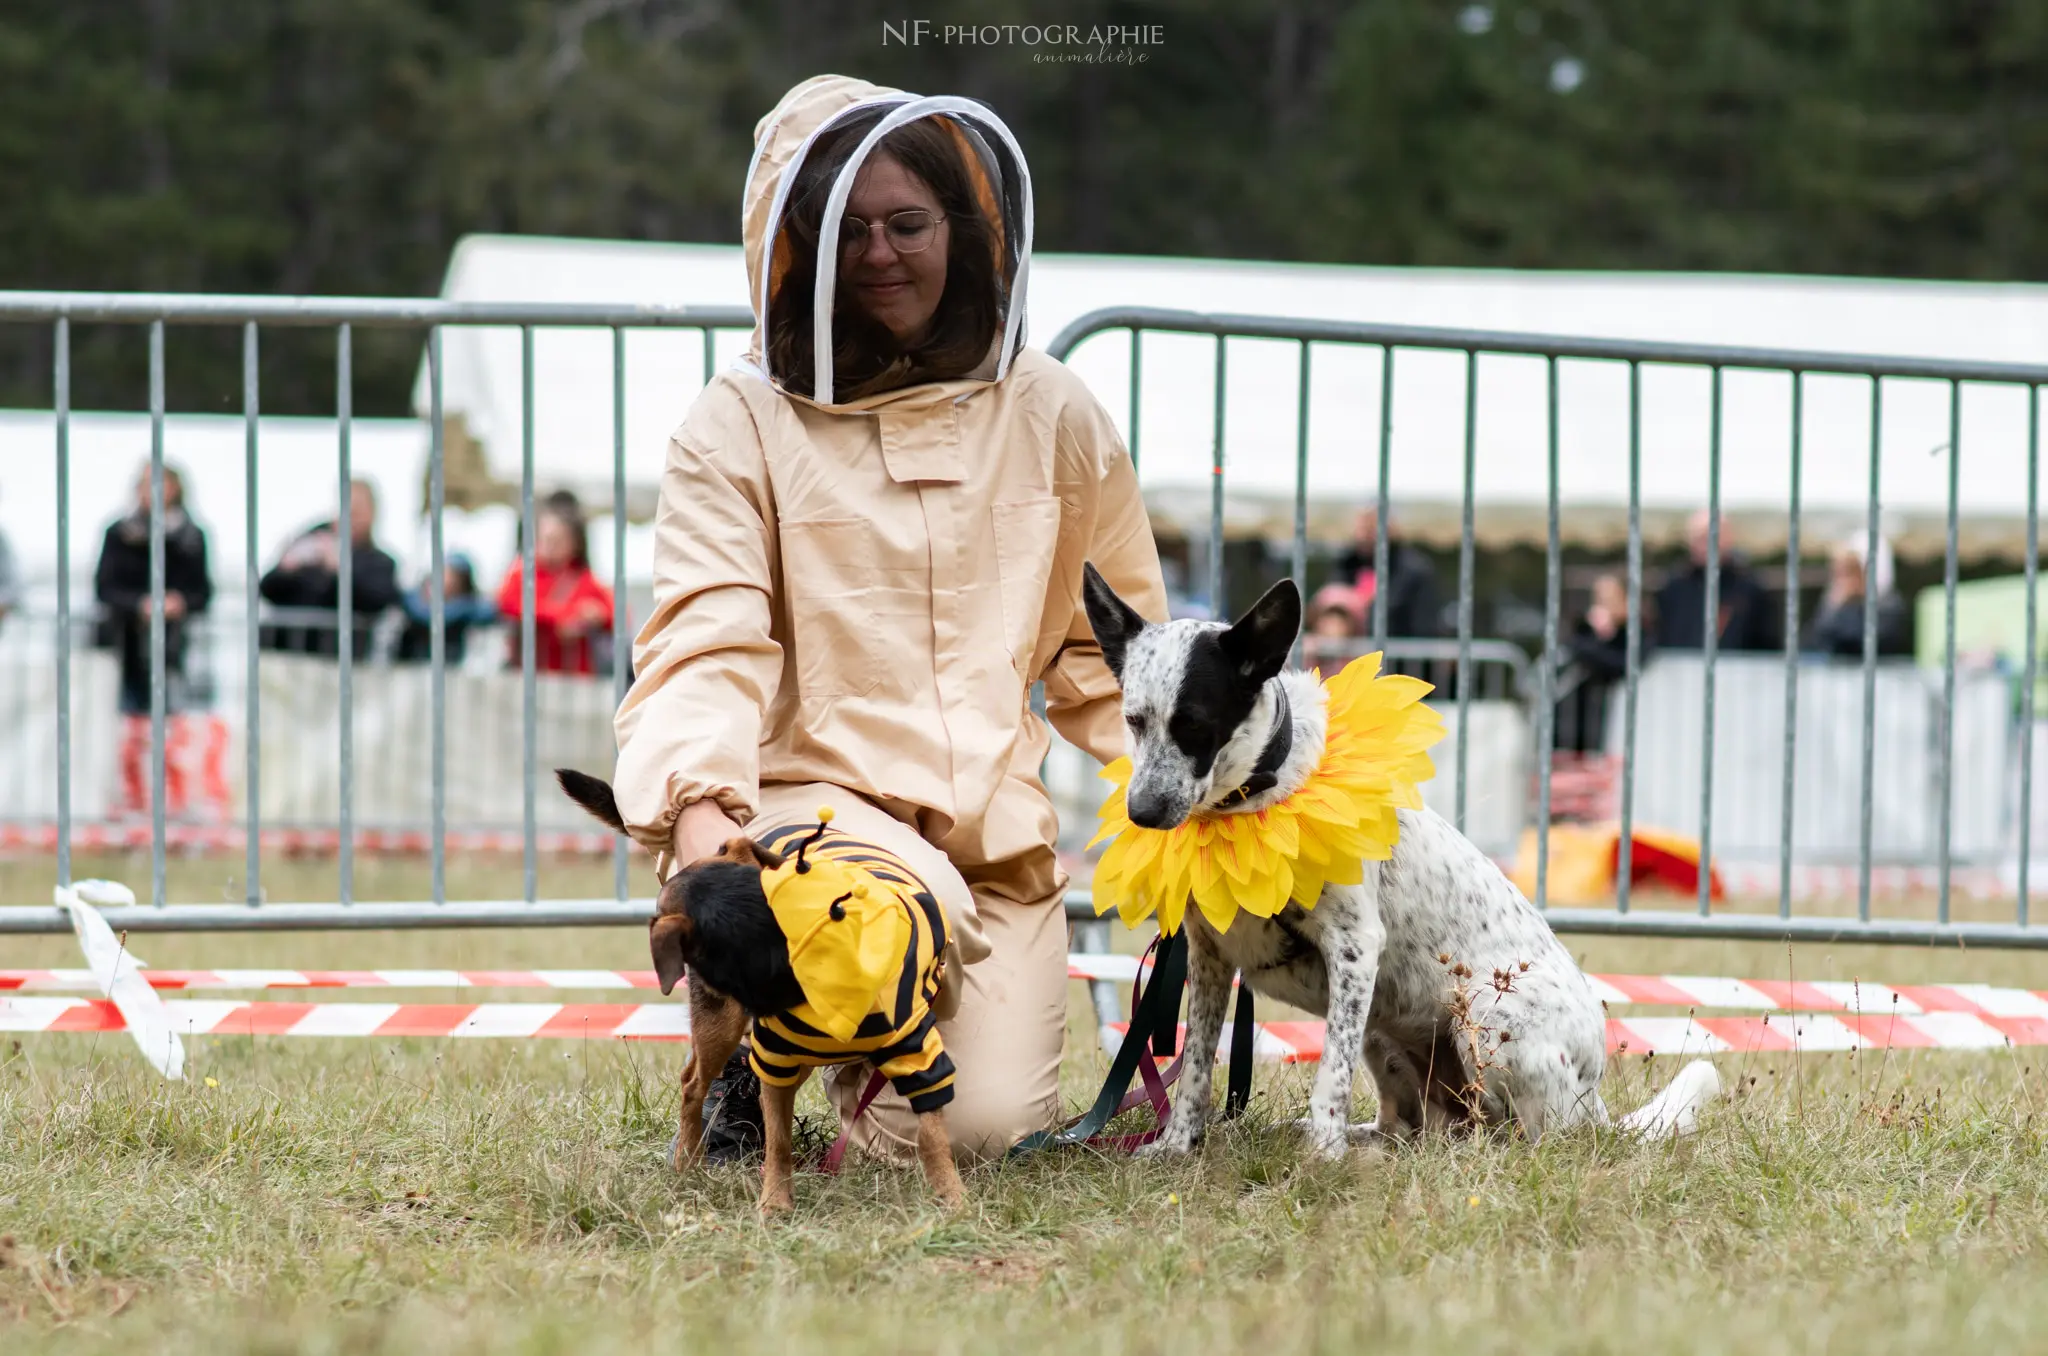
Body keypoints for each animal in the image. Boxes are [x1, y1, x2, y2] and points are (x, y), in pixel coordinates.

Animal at [552, 770, 966, 1212]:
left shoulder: (916, 1052)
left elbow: (932, 1134)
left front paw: (951, 1196)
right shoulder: (776, 1058)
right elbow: (779, 1140)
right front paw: (775, 1202)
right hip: (721, 1029)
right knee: (692, 1084)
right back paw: (688, 1159)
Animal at [1081, 569, 1720, 1163]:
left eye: (1194, 724)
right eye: (1133, 720)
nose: (1142, 812)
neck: (1254, 799)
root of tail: (1595, 1106)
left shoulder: (1353, 947)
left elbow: (1329, 1076)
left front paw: (1323, 1158)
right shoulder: (1210, 957)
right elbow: (1194, 1069)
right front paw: (1177, 1146)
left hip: (1487, 1018)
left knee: (1529, 1136)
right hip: (1387, 1041)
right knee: (1410, 1127)